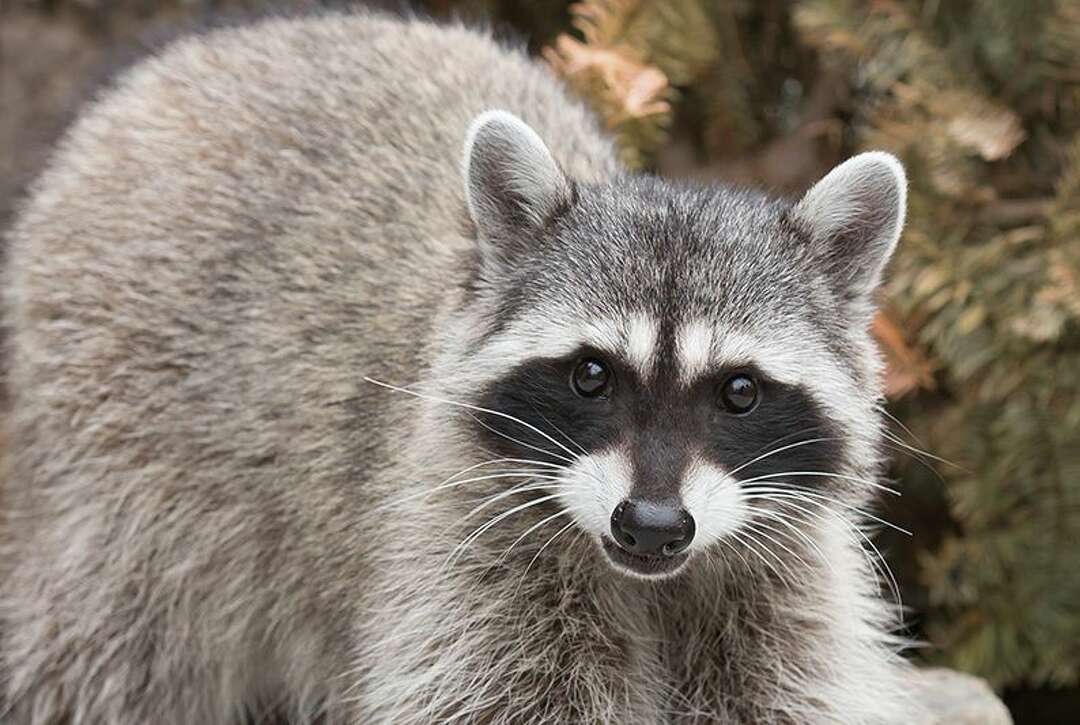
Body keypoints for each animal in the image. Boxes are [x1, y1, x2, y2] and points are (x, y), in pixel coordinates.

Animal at [4, 7, 924, 725]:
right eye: (591, 375)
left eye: (739, 390)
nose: (653, 524)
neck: (649, 575)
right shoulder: (459, 548)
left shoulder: (784, 582)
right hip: (120, 460)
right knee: (98, 647)